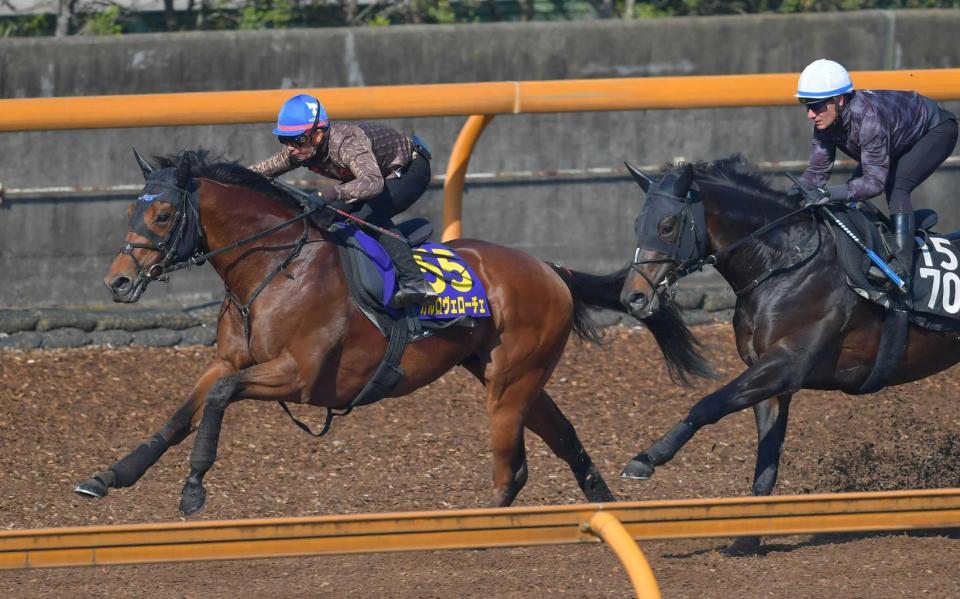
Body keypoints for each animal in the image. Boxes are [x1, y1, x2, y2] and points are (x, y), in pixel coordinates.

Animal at [75, 149, 710, 515]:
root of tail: (549, 268)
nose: (118, 281)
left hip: (511, 380)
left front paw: (193, 487)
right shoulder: (229, 361)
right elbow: (182, 412)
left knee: (511, 461)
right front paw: (109, 477)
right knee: (559, 435)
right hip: (507, 374)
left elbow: (218, 402)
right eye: (131, 211)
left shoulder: (301, 376)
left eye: (161, 215)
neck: (275, 267)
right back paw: (604, 502)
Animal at [617, 155, 960, 554]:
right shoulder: (771, 382)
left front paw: (646, 459)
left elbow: (707, 406)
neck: (783, 264)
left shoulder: (786, 364)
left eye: (667, 226)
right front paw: (746, 540)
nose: (633, 298)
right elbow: (766, 464)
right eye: (637, 224)